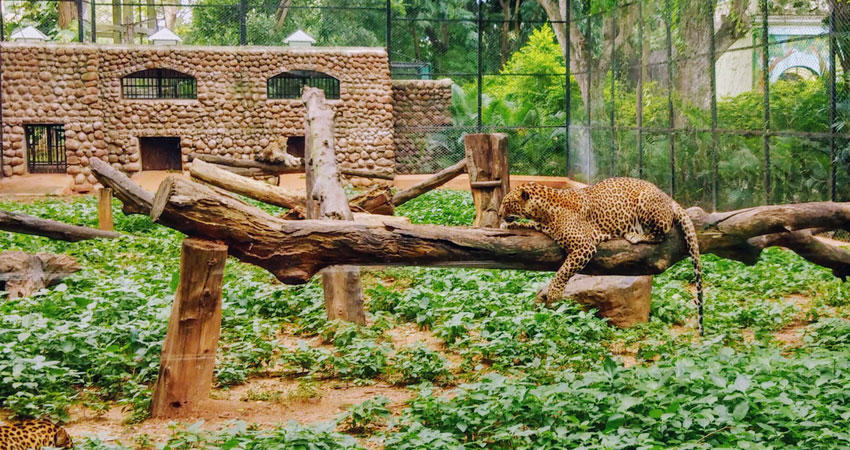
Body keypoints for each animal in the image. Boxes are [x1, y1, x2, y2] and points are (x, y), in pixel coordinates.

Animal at [496, 178, 704, 336]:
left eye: (506, 203)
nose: (498, 214)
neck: (544, 211)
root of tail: (668, 197)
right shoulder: (542, 226)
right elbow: (527, 225)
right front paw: (508, 225)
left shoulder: (584, 246)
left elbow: (564, 270)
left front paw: (554, 293)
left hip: (647, 204)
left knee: (662, 233)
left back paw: (635, 235)